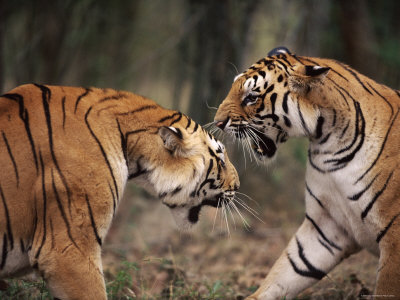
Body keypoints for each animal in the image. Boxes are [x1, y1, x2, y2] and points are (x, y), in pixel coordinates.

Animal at [216, 45, 400, 298]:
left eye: (251, 97)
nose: (216, 122)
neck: (329, 147)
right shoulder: (325, 226)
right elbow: (288, 269)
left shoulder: (394, 238)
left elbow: (386, 288)